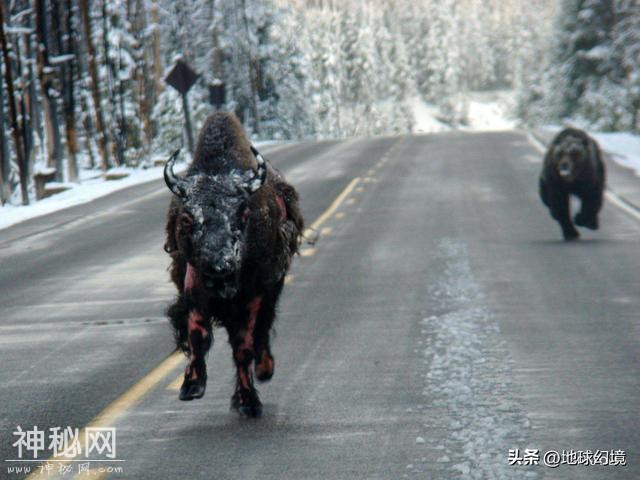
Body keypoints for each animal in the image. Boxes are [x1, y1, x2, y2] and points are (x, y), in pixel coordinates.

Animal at [165, 113, 304, 416]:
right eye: (187, 219)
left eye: (242, 213)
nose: (221, 266)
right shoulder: (195, 280)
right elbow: (198, 333)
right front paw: (191, 386)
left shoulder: (256, 292)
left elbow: (244, 344)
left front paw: (248, 402)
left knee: (261, 330)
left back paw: (264, 369)